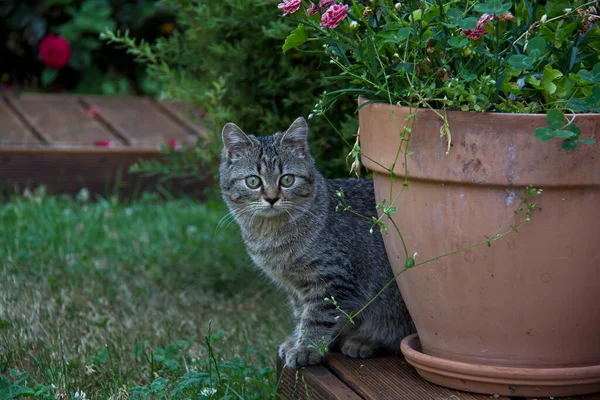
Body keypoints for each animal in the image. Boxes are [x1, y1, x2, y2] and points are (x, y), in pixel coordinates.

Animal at [218, 116, 414, 368]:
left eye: (287, 179)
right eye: (253, 181)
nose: (271, 198)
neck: (273, 236)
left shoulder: (333, 279)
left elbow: (318, 317)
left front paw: (307, 348)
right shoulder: (296, 288)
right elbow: (302, 313)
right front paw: (299, 341)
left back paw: (364, 342)